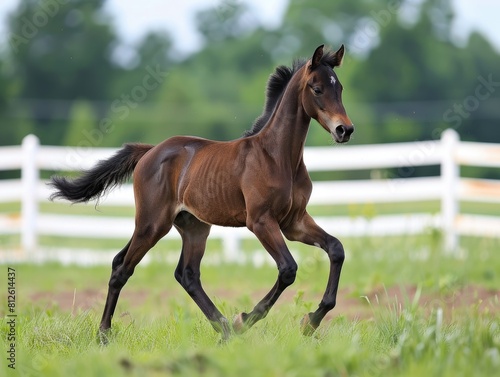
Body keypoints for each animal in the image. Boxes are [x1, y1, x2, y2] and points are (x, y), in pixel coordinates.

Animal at [49, 44, 356, 340]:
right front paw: (245, 320)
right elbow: (288, 269)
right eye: (317, 88)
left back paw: (225, 331)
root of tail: (150, 151)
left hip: (193, 226)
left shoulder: (294, 222)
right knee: (122, 267)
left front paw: (310, 322)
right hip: (152, 224)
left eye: (340, 88)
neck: (278, 156)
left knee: (185, 274)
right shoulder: (260, 221)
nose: (345, 130)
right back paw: (104, 334)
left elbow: (336, 249)